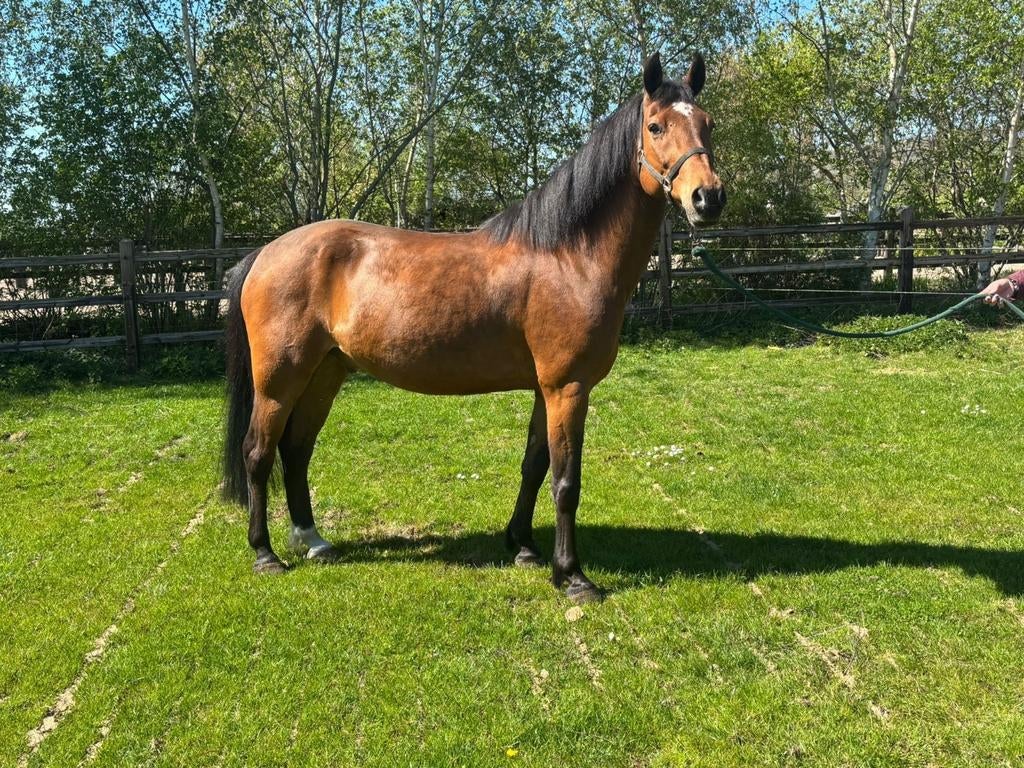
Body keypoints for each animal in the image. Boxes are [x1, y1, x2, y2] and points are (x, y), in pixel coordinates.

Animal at [221, 51, 725, 604]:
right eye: (655, 126)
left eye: (707, 124)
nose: (708, 198)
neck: (568, 256)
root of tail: (264, 253)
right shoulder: (568, 388)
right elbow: (566, 482)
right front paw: (571, 576)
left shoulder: (544, 389)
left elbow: (534, 466)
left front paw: (523, 546)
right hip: (278, 380)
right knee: (257, 452)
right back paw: (265, 553)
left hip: (325, 374)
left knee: (296, 450)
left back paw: (313, 539)